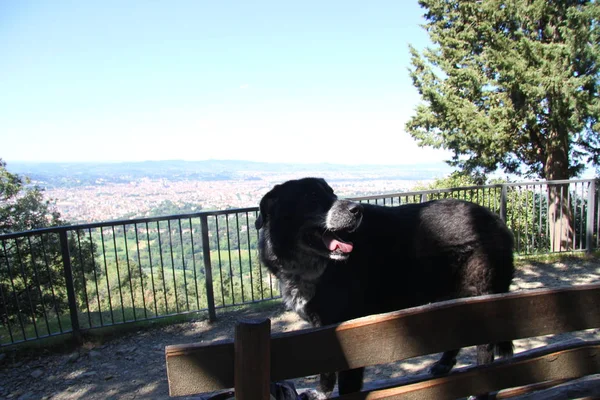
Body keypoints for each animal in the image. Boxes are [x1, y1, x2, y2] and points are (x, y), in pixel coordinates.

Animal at [255, 178, 512, 396]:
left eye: (332, 193)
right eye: (312, 196)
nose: (356, 209)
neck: (316, 266)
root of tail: (497, 222)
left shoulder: (347, 333)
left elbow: (347, 384)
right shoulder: (323, 331)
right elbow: (326, 373)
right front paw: (321, 393)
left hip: (480, 295)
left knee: (486, 346)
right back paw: (444, 365)